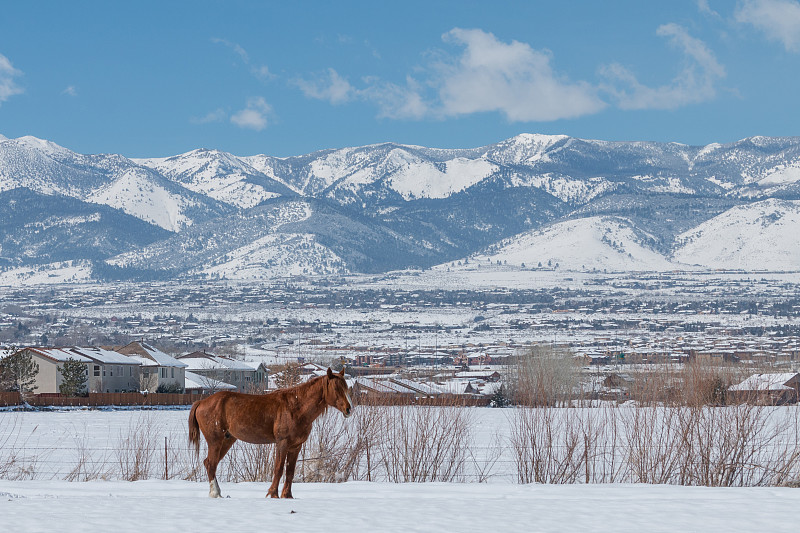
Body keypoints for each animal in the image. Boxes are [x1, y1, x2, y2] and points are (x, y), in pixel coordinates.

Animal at [189, 368, 352, 496]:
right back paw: (215, 493)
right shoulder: (282, 443)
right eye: (336, 389)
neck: (296, 407)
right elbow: (278, 469)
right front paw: (272, 494)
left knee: (209, 463)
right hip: (215, 441)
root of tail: (201, 402)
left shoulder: (295, 446)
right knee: (211, 464)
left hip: (227, 440)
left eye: (346, 387)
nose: (349, 409)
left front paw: (287, 496)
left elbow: (290, 472)